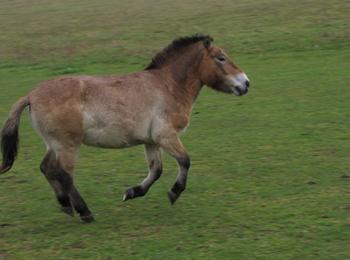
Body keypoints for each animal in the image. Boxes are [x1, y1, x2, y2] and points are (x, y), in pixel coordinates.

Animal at [0, 34, 249, 221]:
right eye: (221, 58)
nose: (246, 83)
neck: (168, 85)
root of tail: (31, 95)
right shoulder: (166, 136)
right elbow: (185, 161)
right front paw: (174, 193)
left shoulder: (151, 141)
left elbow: (156, 170)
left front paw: (132, 192)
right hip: (68, 145)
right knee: (64, 174)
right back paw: (84, 212)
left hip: (54, 145)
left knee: (47, 168)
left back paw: (65, 205)